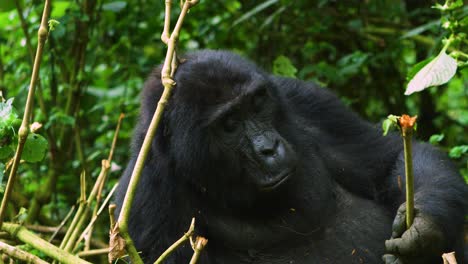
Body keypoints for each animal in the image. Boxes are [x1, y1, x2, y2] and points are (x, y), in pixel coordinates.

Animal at [114, 50, 468, 264]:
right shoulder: (144, 204)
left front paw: (424, 231)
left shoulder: (303, 99)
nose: (269, 148)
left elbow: (390, 160)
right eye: (229, 124)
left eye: (257, 102)